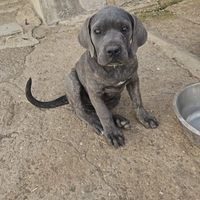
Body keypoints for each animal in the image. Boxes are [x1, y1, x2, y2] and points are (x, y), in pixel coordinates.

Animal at [25, 5, 159, 148]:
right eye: (97, 31)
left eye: (125, 28)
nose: (113, 50)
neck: (114, 68)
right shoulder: (95, 93)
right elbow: (103, 113)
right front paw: (112, 134)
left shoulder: (133, 80)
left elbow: (137, 101)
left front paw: (145, 118)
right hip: (73, 81)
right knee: (81, 110)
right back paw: (97, 123)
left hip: (114, 98)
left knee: (96, 109)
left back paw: (119, 120)